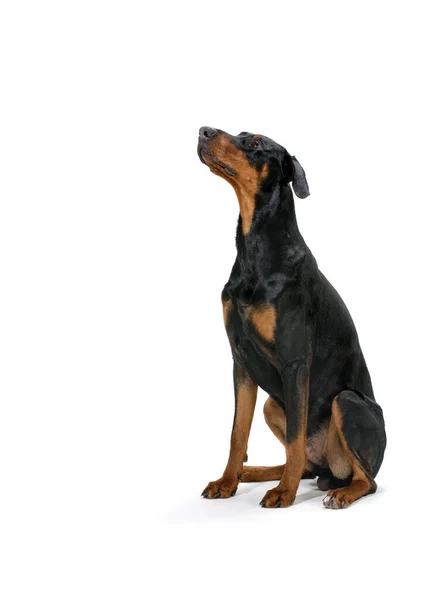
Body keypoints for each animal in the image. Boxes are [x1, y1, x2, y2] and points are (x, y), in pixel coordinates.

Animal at [196, 125, 384, 506]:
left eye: (254, 142)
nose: (203, 131)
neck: (255, 248)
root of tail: (331, 472)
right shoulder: (241, 360)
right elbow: (238, 432)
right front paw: (227, 481)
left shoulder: (295, 360)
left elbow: (296, 435)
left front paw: (285, 493)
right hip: (273, 403)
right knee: (306, 465)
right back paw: (254, 472)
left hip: (347, 402)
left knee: (366, 480)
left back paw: (338, 492)